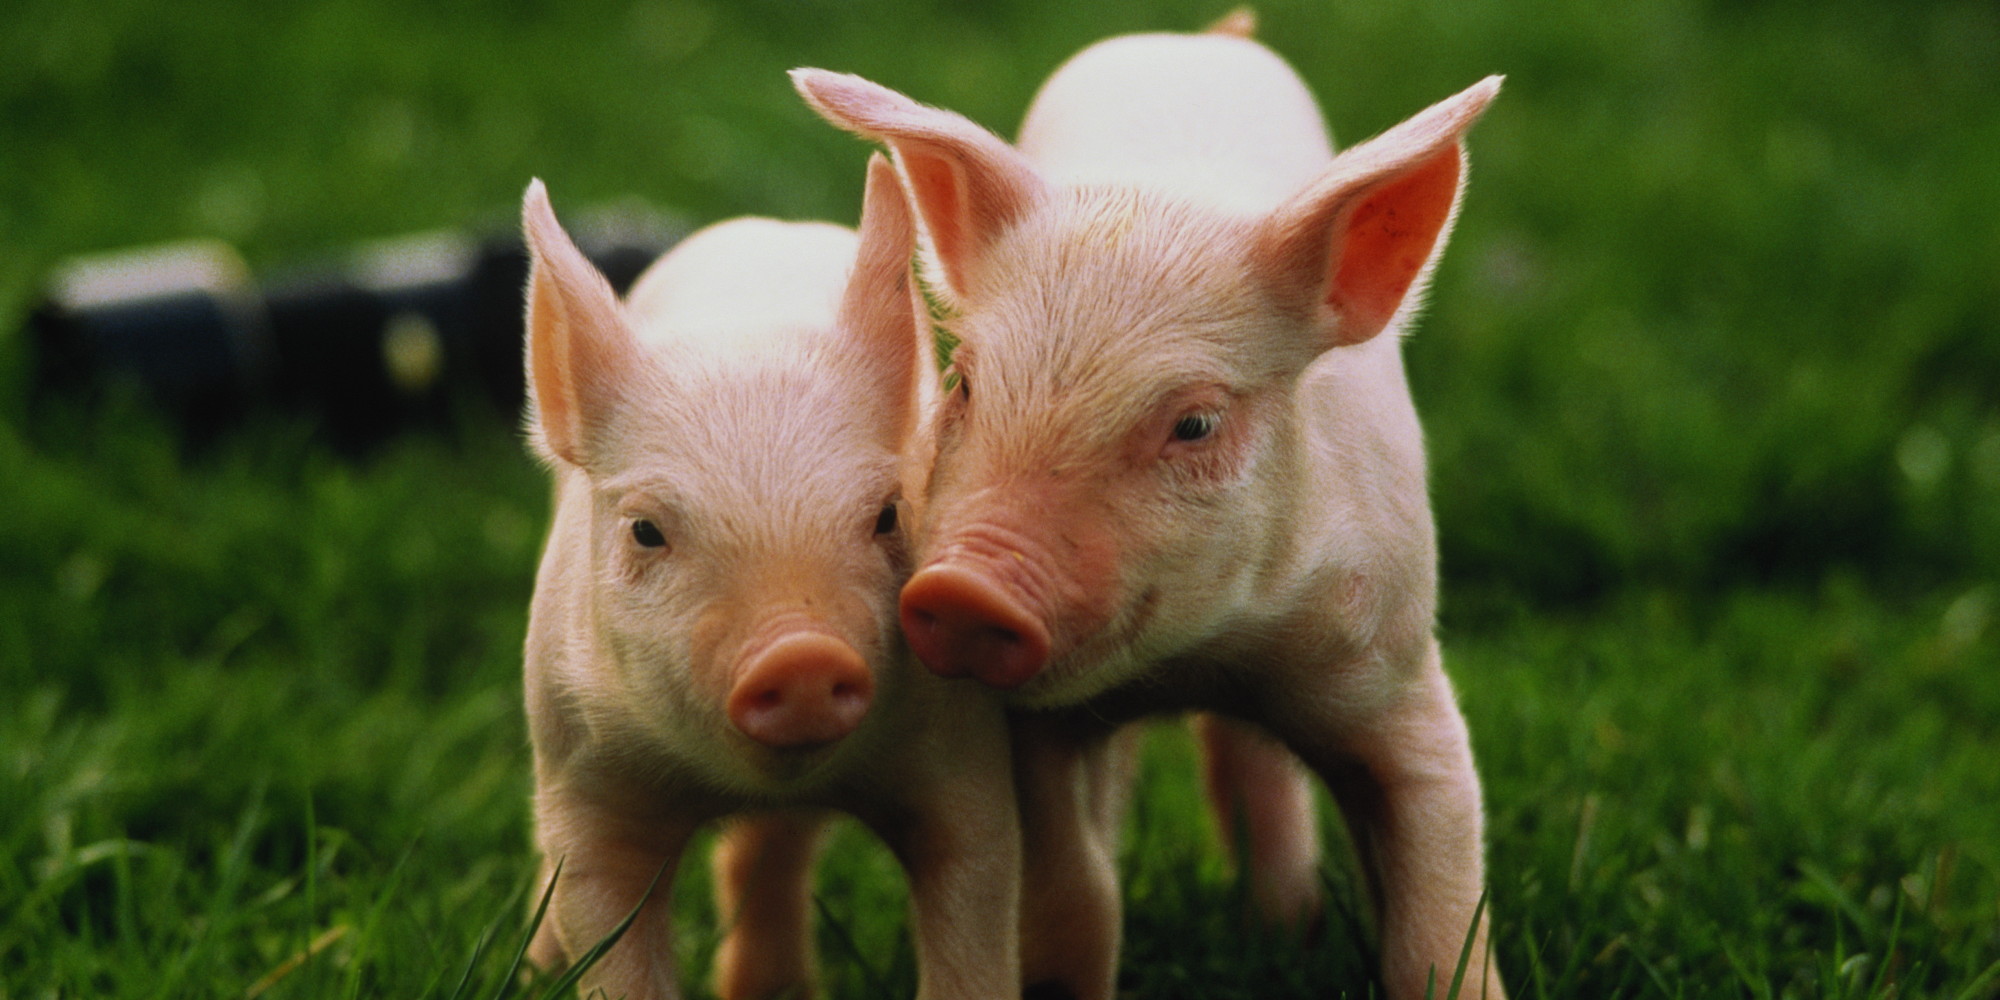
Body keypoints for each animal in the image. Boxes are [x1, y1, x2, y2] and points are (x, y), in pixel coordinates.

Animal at [518, 157, 1018, 1000]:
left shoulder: (963, 759)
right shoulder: (582, 776)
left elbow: (974, 899)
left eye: (888, 516)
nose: (801, 654)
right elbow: (604, 927)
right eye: (646, 530)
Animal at [792, 19, 1506, 1000]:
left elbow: (1439, 921)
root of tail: (1202, 33)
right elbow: (1077, 891)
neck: (1199, 656)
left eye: (1195, 422)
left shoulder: (1395, 668)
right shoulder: (1037, 724)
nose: (963, 589)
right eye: (966, 384)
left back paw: (1285, 926)